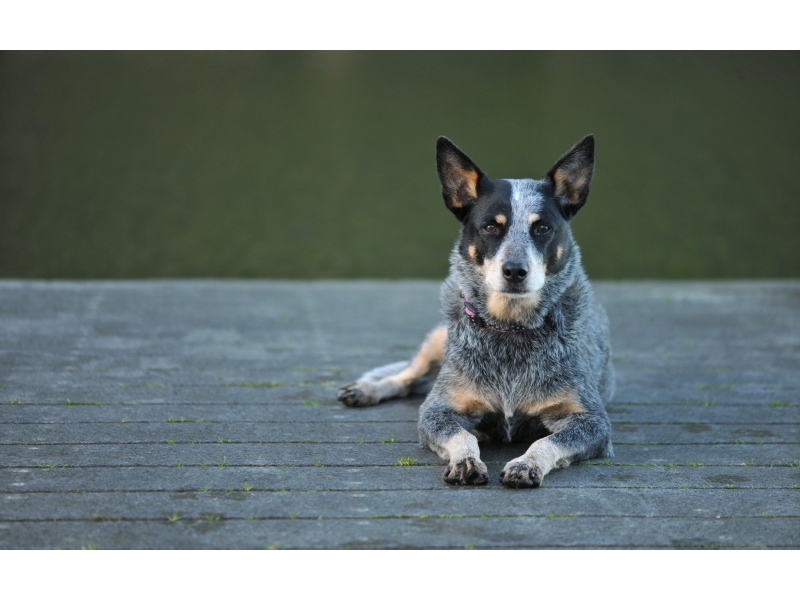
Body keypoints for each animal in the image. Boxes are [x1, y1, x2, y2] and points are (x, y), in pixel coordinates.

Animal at [338, 136, 612, 488]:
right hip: (438, 338)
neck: (510, 329)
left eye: (542, 228)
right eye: (490, 227)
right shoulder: (437, 411)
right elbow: (461, 435)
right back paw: (367, 390)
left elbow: (547, 440)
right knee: (407, 375)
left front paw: (526, 464)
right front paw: (466, 461)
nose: (514, 270)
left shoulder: (592, 421)